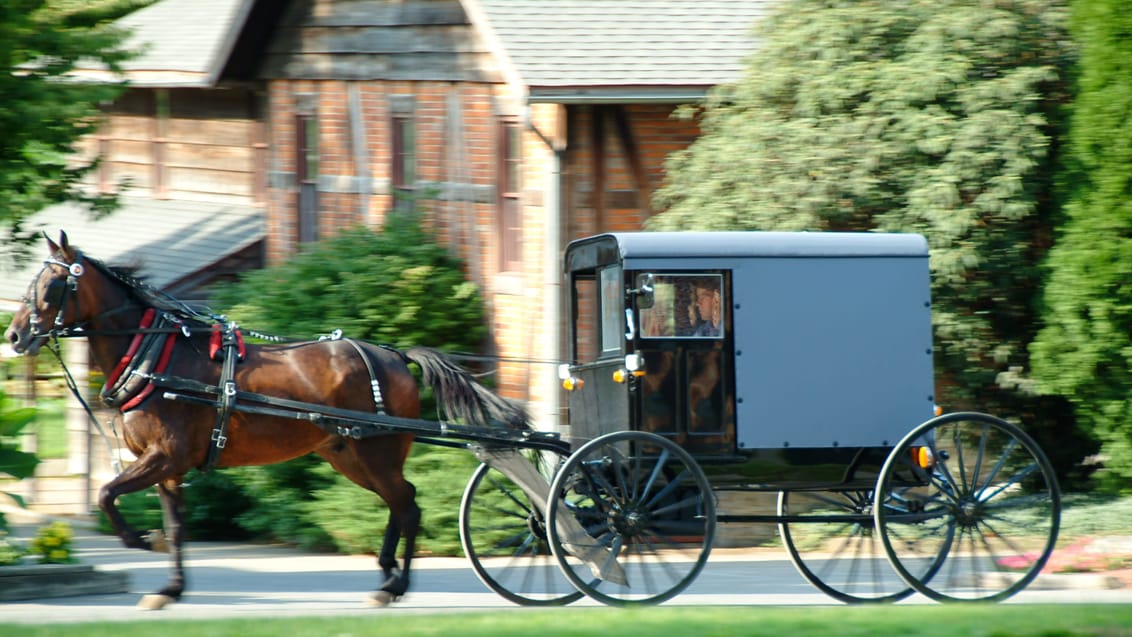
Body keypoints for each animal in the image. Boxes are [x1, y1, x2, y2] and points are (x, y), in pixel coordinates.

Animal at [3, 231, 525, 610]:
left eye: (51, 287)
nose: (14, 335)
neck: (154, 354)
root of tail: (393, 355)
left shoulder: (165, 456)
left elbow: (106, 493)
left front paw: (138, 539)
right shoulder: (167, 468)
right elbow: (174, 526)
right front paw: (170, 587)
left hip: (377, 452)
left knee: (409, 506)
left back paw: (394, 585)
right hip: (349, 455)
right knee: (402, 502)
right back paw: (387, 574)